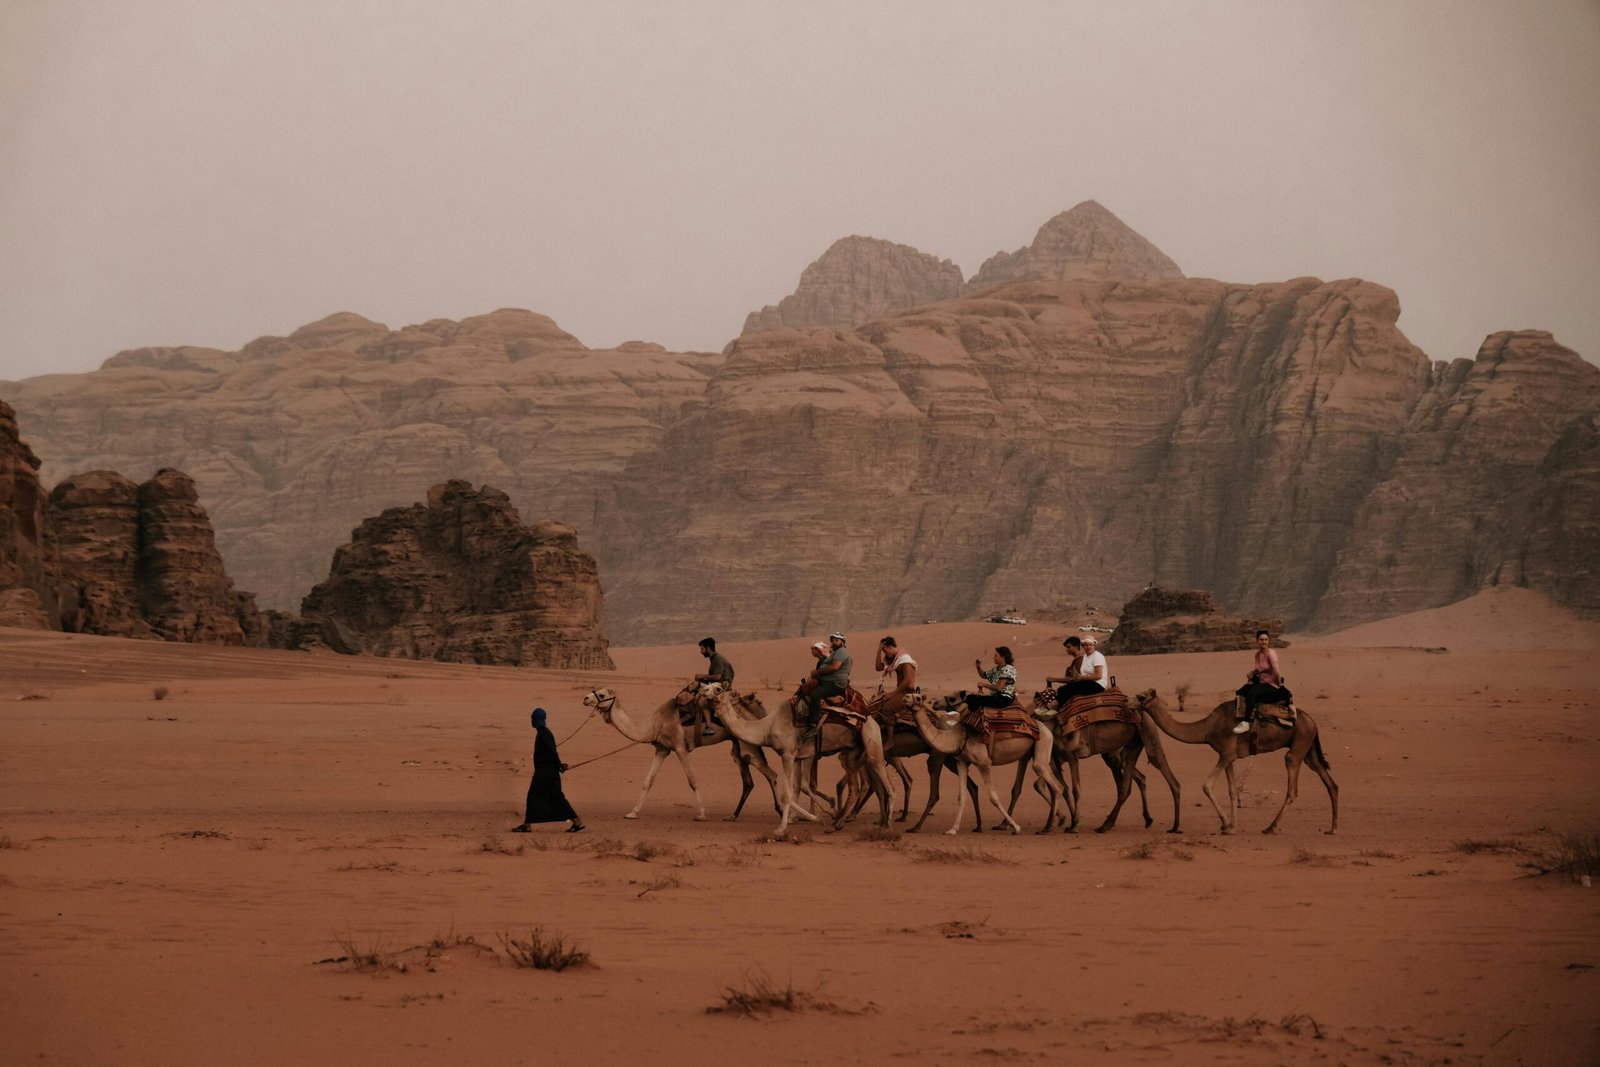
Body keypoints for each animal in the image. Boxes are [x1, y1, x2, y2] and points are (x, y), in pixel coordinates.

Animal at [582, 687, 780, 825]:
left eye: (601, 695)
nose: (585, 698)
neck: (654, 724)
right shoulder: (662, 749)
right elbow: (648, 781)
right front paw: (632, 813)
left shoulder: (680, 747)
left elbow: (692, 779)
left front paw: (701, 814)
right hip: (737, 744)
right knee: (748, 781)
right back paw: (733, 815)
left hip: (747, 744)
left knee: (770, 773)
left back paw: (780, 811)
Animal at [908, 694, 1068, 831]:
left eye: (917, 697)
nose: (934, 703)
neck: (958, 736)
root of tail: (1047, 730)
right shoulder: (962, 763)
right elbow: (961, 796)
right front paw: (953, 829)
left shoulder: (984, 763)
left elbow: (993, 797)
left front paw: (1016, 827)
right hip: (1030, 755)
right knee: (1043, 785)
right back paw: (1056, 822)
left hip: (1043, 745)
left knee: (1055, 785)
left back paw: (1048, 827)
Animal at [1017, 687, 1184, 838]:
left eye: (1038, 701)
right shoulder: (1057, 759)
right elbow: (1062, 789)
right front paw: (1068, 822)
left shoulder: (1071, 756)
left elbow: (1074, 789)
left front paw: (1073, 825)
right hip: (1126, 748)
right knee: (1132, 781)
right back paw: (1140, 820)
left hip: (1144, 736)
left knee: (1159, 768)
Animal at [1132, 694, 1344, 831]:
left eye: (1141, 697)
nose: (1127, 701)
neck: (1207, 729)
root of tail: (1313, 722)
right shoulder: (1230, 757)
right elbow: (1232, 790)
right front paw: (1232, 825)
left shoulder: (1225, 754)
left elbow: (1206, 785)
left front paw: (1225, 823)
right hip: (1309, 750)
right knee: (1330, 782)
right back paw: (1332, 828)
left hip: (1299, 746)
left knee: (1292, 785)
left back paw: (1271, 827)